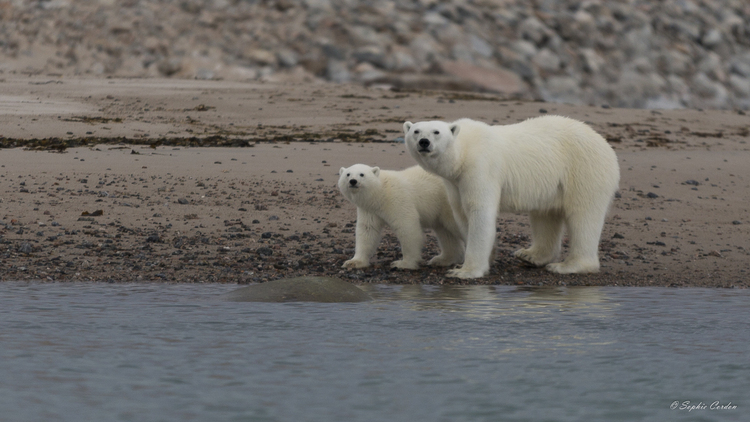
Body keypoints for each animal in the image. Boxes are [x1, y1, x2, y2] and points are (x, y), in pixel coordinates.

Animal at [406, 117, 624, 278]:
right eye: (416, 131)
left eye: (436, 132)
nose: (424, 142)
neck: (465, 149)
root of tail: (606, 145)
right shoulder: (455, 182)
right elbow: (462, 214)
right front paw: (489, 256)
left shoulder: (480, 168)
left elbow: (480, 212)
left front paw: (465, 271)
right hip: (551, 184)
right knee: (545, 215)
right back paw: (531, 255)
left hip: (584, 170)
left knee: (583, 217)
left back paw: (567, 266)